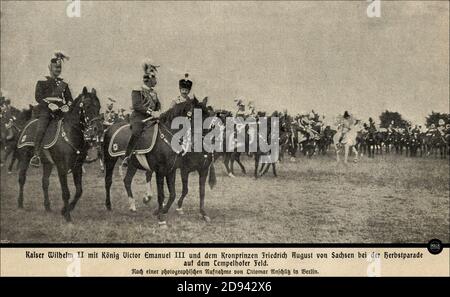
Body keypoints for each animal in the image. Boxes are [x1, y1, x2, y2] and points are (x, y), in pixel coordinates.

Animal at [16, 86, 100, 221]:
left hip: (47, 163)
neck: (70, 134)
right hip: (25, 158)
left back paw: (47, 207)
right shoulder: (62, 168)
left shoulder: (77, 167)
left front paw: (65, 209)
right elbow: (66, 192)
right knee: (22, 179)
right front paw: (67, 216)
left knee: (45, 182)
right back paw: (20, 204)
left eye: (99, 107)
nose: (98, 128)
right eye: (87, 106)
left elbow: (79, 191)